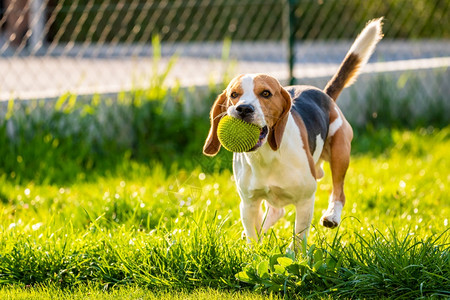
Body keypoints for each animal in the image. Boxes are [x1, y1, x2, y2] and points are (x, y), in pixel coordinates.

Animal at [204, 18, 384, 243]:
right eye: (233, 94)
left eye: (266, 93)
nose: (243, 109)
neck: (267, 157)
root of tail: (325, 94)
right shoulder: (248, 203)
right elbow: (254, 237)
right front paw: (255, 249)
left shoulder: (306, 199)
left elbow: (299, 238)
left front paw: (294, 252)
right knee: (275, 212)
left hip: (340, 151)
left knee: (338, 192)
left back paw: (332, 216)